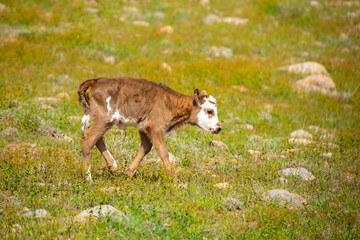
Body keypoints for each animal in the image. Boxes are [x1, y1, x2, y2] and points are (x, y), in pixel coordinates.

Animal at [77, 78, 221, 181]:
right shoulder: (156, 128)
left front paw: (128, 173)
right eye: (210, 111)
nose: (219, 128)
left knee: (96, 138)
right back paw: (88, 179)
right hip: (104, 120)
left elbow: (145, 148)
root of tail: (94, 81)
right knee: (88, 140)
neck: (170, 102)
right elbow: (163, 151)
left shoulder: (144, 128)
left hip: (103, 122)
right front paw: (176, 181)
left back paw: (113, 167)